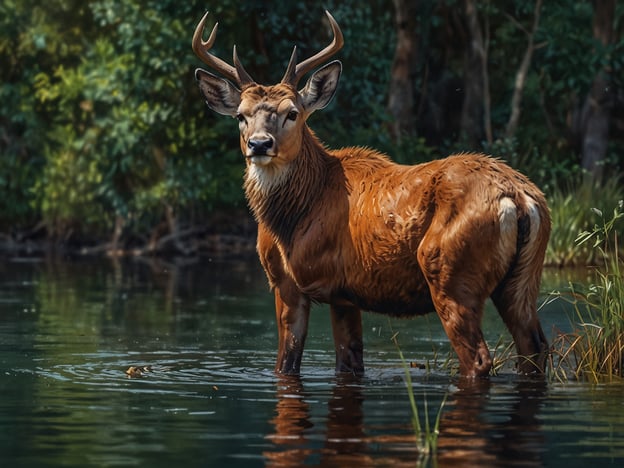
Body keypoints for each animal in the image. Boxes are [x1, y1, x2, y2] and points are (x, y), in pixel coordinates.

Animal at [191, 10, 552, 376]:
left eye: (292, 113)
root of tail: (518, 197)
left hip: (450, 272)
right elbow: (349, 363)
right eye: (241, 116)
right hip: (522, 281)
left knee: (479, 357)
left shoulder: (290, 282)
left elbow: (286, 363)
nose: (260, 144)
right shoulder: (346, 295)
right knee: (535, 348)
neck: (299, 212)